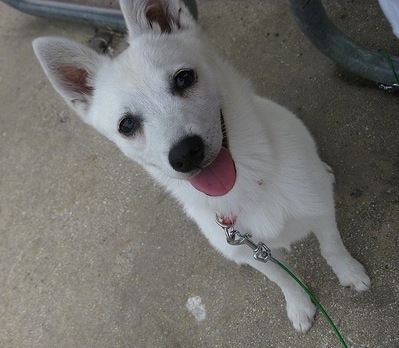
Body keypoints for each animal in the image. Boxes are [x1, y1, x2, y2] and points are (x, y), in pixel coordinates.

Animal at [32, 0, 370, 332]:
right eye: (126, 125)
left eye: (183, 78)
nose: (185, 154)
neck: (248, 185)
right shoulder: (252, 252)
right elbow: (283, 280)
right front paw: (298, 305)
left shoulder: (319, 210)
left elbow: (332, 248)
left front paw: (350, 273)